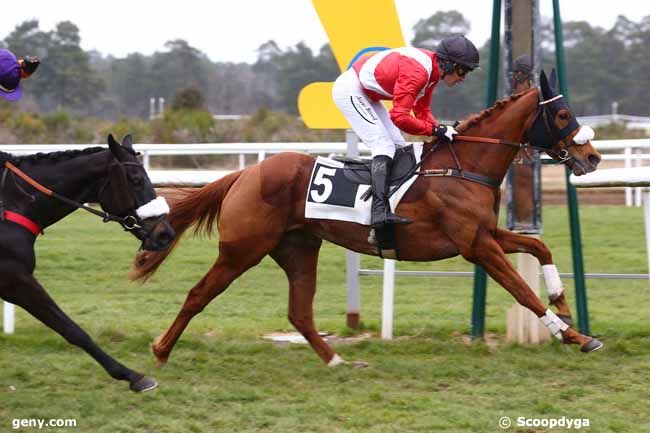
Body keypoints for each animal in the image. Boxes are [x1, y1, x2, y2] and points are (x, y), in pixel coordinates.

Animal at [0, 135, 175, 392]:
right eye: (136, 179)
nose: (166, 234)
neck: (11, 203)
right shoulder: (15, 278)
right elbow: (72, 329)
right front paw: (133, 376)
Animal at [132, 71, 604, 368]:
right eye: (563, 115)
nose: (592, 156)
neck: (464, 164)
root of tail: (245, 174)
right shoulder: (477, 246)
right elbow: (522, 291)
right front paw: (575, 336)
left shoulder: (486, 233)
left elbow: (539, 246)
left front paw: (564, 305)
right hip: (242, 250)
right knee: (199, 294)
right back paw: (161, 350)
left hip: (298, 248)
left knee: (299, 313)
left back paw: (337, 360)